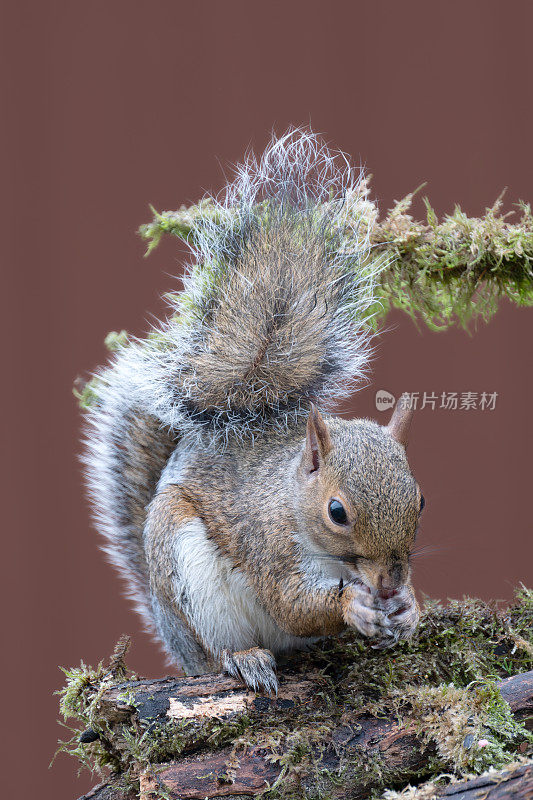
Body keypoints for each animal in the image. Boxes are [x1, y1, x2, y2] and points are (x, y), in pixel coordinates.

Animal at [84, 131, 420, 692]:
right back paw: (243, 659)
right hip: (186, 576)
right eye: (337, 512)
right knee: (219, 648)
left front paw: (410, 609)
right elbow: (291, 605)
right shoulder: (267, 543)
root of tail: (174, 639)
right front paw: (353, 607)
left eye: (421, 500)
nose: (391, 585)